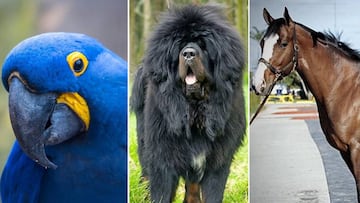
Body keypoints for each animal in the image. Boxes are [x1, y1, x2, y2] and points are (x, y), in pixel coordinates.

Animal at [131, 3, 246, 203]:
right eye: (180, 46)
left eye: (204, 45)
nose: (189, 54)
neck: (195, 109)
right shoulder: (162, 158)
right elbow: (160, 192)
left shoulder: (218, 161)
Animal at [252, 7, 360, 202]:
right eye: (262, 42)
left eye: (283, 44)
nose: (257, 84)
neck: (346, 89)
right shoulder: (345, 152)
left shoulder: (357, 150)